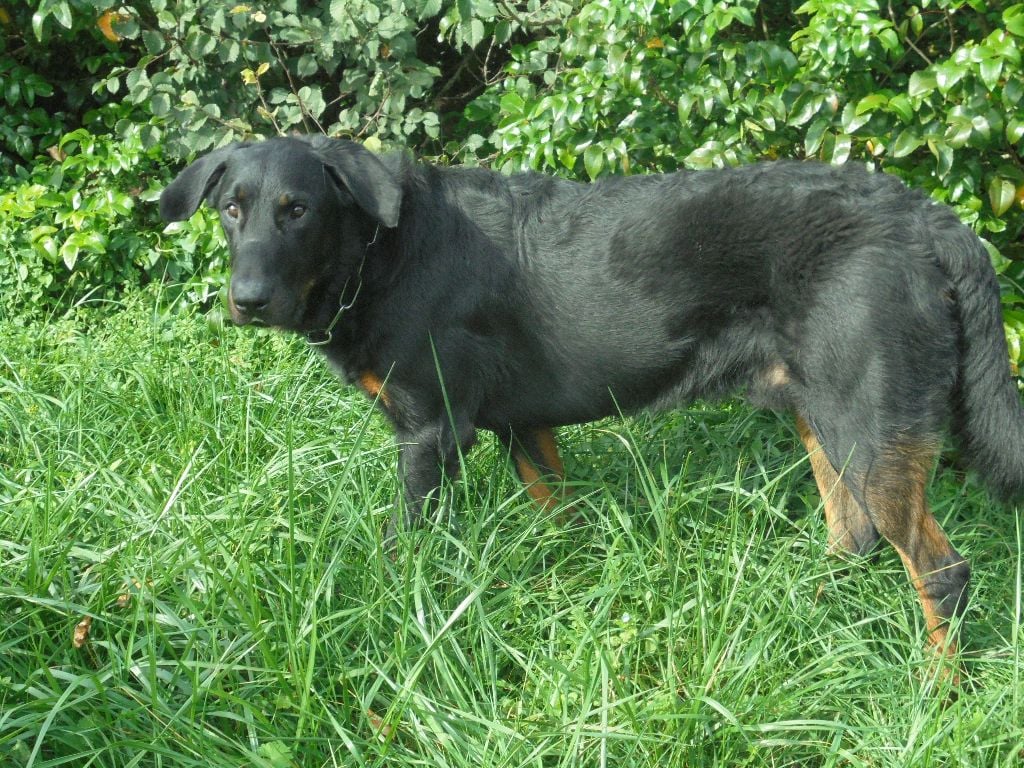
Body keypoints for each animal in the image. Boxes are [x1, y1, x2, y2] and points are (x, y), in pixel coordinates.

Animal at [160, 135, 1024, 669]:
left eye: (297, 209)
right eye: (231, 208)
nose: (247, 300)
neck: (381, 251)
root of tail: (934, 220)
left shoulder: (429, 435)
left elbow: (406, 549)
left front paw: (396, 622)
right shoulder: (525, 429)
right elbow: (561, 523)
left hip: (871, 423)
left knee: (940, 572)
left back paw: (936, 693)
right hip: (825, 415)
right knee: (855, 537)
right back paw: (810, 623)